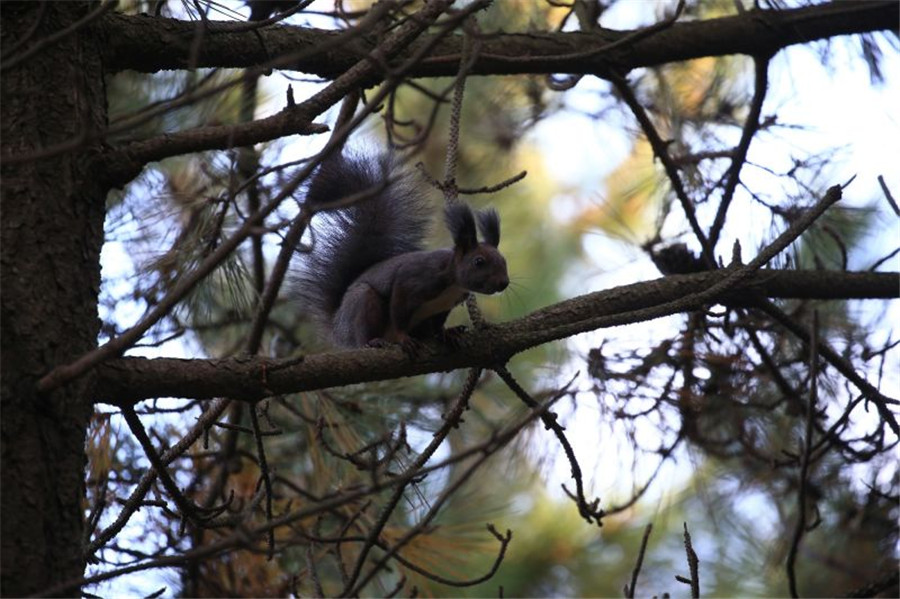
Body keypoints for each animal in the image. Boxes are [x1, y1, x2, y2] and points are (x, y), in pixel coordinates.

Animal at [294, 152, 510, 354]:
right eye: (479, 261)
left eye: (504, 261)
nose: (504, 283)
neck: (452, 283)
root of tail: (338, 327)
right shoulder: (413, 280)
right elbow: (399, 308)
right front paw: (403, 337)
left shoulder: (445, 306)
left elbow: (438, 324)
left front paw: (445, 332)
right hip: (362, 305)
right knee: (364, 327)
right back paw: (373, 341)